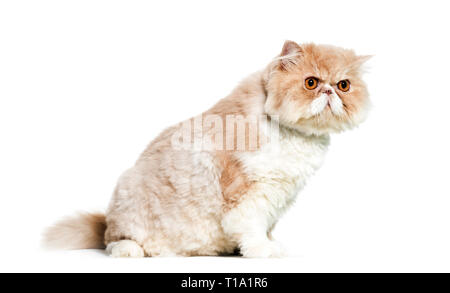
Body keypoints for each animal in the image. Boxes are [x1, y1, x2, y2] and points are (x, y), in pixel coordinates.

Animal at [44, 40, 370, 256]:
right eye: (311, 83)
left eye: (343, 85)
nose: (329, 92)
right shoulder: (248, 193)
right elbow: (253, 227)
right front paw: (264, 251)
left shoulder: (278, 198)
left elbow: (265, 228)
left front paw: (264, 245)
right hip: (126, 198)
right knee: (114, 240)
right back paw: (131, 250)